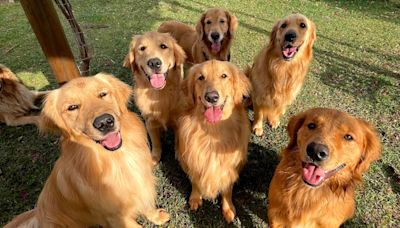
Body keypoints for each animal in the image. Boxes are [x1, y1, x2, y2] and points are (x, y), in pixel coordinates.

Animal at [5, 74, 170, 227]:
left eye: (103, 94)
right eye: (72, 107)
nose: (105, 122)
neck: (117, 157)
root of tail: (37, 214)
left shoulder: (142, 183)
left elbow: (147, 205)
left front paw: (157, 217)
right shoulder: (116, 217)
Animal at [122, 32, 187, 163]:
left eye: (163, 46)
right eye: (142, 48)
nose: (154, 63)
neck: (159, 94)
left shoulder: (178, 120)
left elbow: (178, 139)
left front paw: (178, 153)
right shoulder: (150, 121)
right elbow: (156, 141)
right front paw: (155, 157)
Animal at [176, 60, 250, 223]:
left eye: (224, 76)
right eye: (200, 77)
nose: (211, 97)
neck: (212, 131)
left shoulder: (231, 166)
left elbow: (227, 188)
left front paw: (228, 208)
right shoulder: (192, 160)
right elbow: (196, 181)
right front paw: (195, 198)